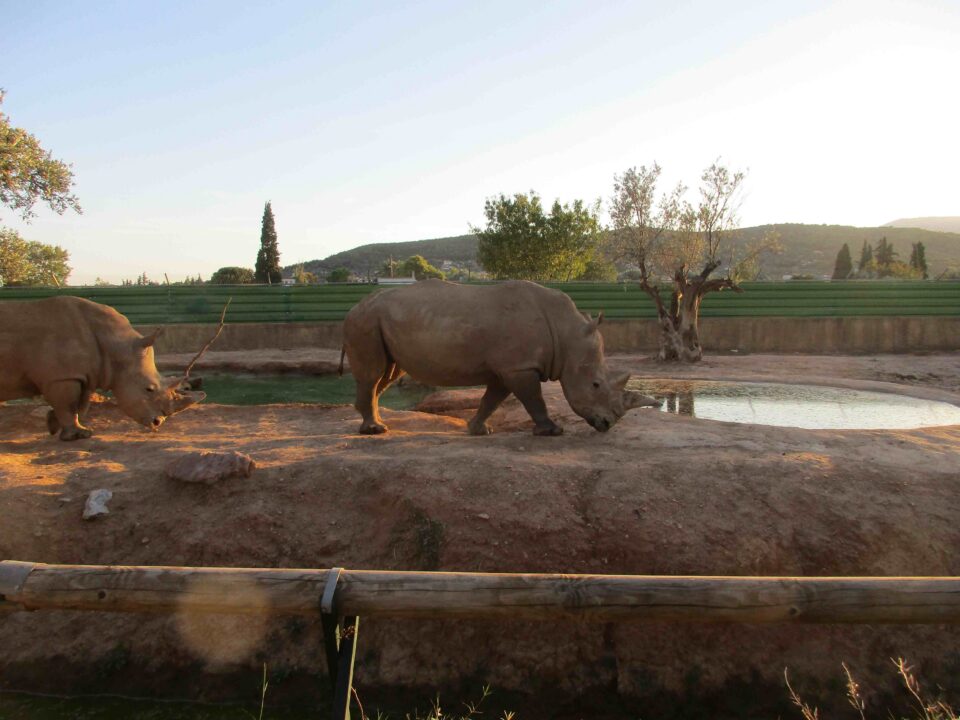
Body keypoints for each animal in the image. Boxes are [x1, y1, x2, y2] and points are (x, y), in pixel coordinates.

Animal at [0, 296, 205, 440]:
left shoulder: (85, 374)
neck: (116, 345)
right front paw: (77, 436)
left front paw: (53, 424)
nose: (157, 423)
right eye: (149, 389)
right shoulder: (61, 376)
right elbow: (68, 404)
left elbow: (80, 405)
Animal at [339, 279, 658, 436]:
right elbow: (535, 400)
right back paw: (375, 431)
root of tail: (354, 307)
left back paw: (378, 423)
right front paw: (553, 431)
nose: (607, 425)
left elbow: (491, 400)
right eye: (595, 385)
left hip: (377, 320)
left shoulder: (509, 368)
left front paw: (479, 430)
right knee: (374, 374)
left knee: (386, 375)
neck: (566, 335)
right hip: (366, 320)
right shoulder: (519, 366)